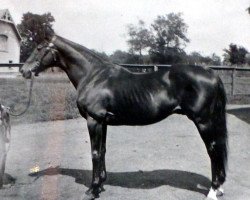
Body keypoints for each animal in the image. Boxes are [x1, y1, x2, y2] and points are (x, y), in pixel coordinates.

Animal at [20, 33, 227, 200]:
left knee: (213, 150)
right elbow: (102, 151)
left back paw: (213, 191)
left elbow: (95, 153)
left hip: (204, 122)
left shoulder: (93, 121)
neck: (93, 76)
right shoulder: (102, 122)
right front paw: (101, 184)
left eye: (39, 48)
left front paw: (92, 190)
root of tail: (210, 73)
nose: (24, 70)